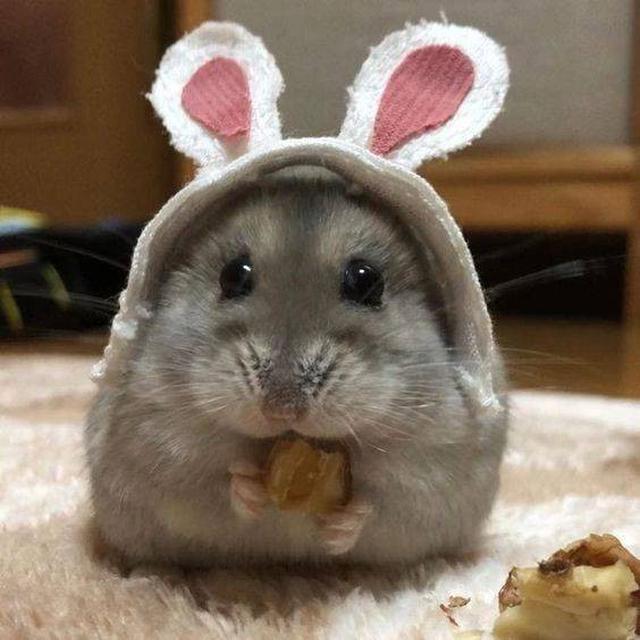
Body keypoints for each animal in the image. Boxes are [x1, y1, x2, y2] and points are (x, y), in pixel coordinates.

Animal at [85, 167, 507, 567]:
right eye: (233, 274)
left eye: (365, 280)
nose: (282, 409)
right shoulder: (161, 442)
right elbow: (214, 484)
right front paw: (249, 487)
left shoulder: (432, 466)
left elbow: (381, 505)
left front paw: (342, 525)